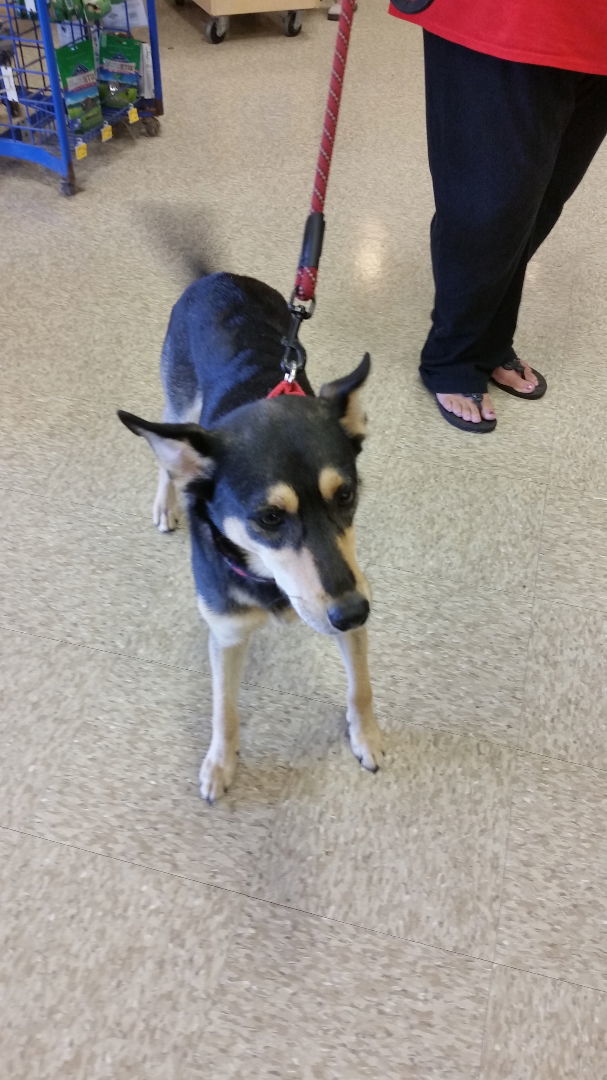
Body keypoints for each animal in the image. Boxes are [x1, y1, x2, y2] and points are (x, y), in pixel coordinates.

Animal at [119, 270, 382, 803]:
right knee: (168, 458)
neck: (267, 580)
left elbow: (360, 686)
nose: (352, 613)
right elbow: (225, 710)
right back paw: (166, 502)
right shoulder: (226, 633)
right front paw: (221, 764)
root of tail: (217, 276)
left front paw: (366, 735)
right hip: (179, 400)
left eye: (346, 495)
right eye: (269, 518)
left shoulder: (349, 589)